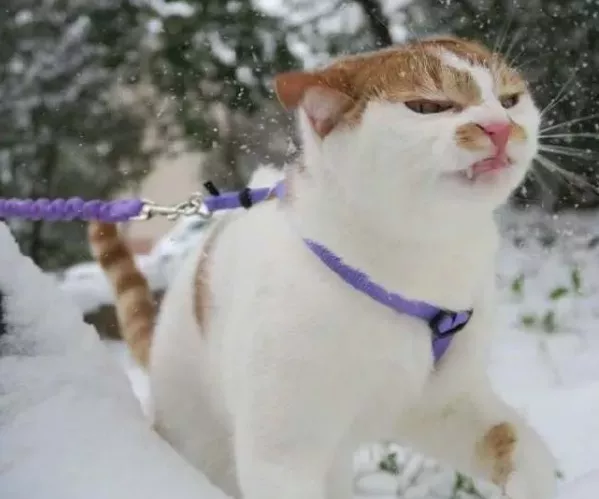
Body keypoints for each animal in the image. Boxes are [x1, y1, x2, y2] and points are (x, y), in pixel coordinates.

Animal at [89, 36, 556, 499]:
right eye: (428, 106)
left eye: (510, 100)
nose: (499, 127)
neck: (420, 263)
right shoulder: (283, 450)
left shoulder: (445, 402)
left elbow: (516, 443)